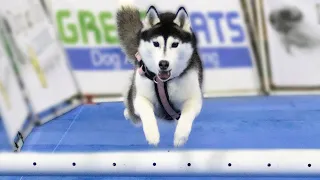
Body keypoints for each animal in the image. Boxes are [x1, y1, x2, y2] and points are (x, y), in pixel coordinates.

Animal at [117, 2, 202, 147]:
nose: (163, 64)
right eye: (156, 43)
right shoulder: (141, 96)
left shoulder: (193, 98)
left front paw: (180, 135)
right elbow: (147, 113)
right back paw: (129, 112)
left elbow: (187, 114)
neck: (165, 83)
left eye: (175, 44)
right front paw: (152, 135)